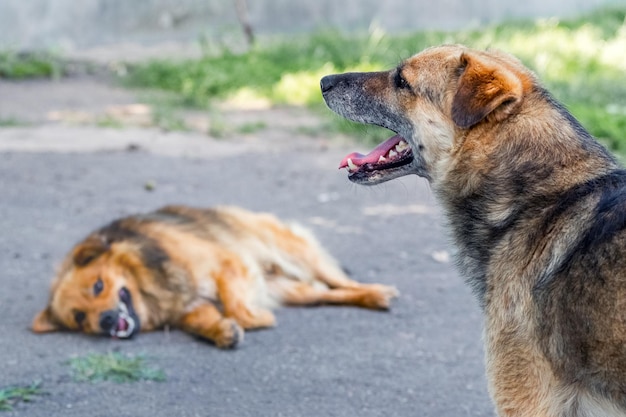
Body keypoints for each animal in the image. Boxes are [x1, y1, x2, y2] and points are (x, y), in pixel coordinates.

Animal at [31, 206, 394, 348]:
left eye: (98, 286)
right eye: (80, 318)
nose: (106, 321)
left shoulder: (225, 262)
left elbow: (236, 306)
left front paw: (256, 319)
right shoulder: (191, 306)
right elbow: (206, 321)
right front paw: (222, 332)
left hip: (296, 254)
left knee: (341, 281)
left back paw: (378, 292)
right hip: (297, 292)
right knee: (328, 292)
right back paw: (370, 298)